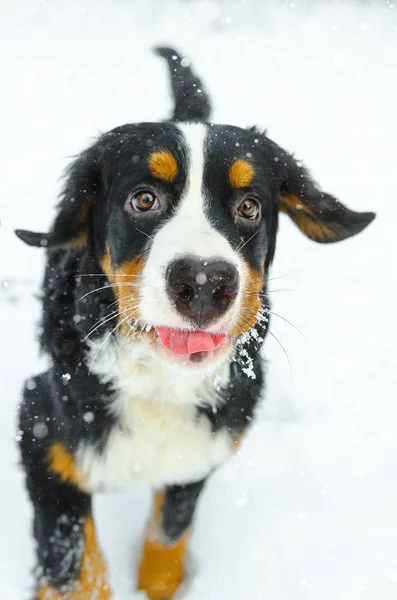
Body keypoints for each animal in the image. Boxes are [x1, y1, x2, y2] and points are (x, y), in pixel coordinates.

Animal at [15, 48, 374, 600]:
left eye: (248, 207)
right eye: (144, 199)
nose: (204, 282)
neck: (159, 382)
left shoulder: (207, 443)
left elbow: (169, 532)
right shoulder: (41, 432)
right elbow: (74, 563)